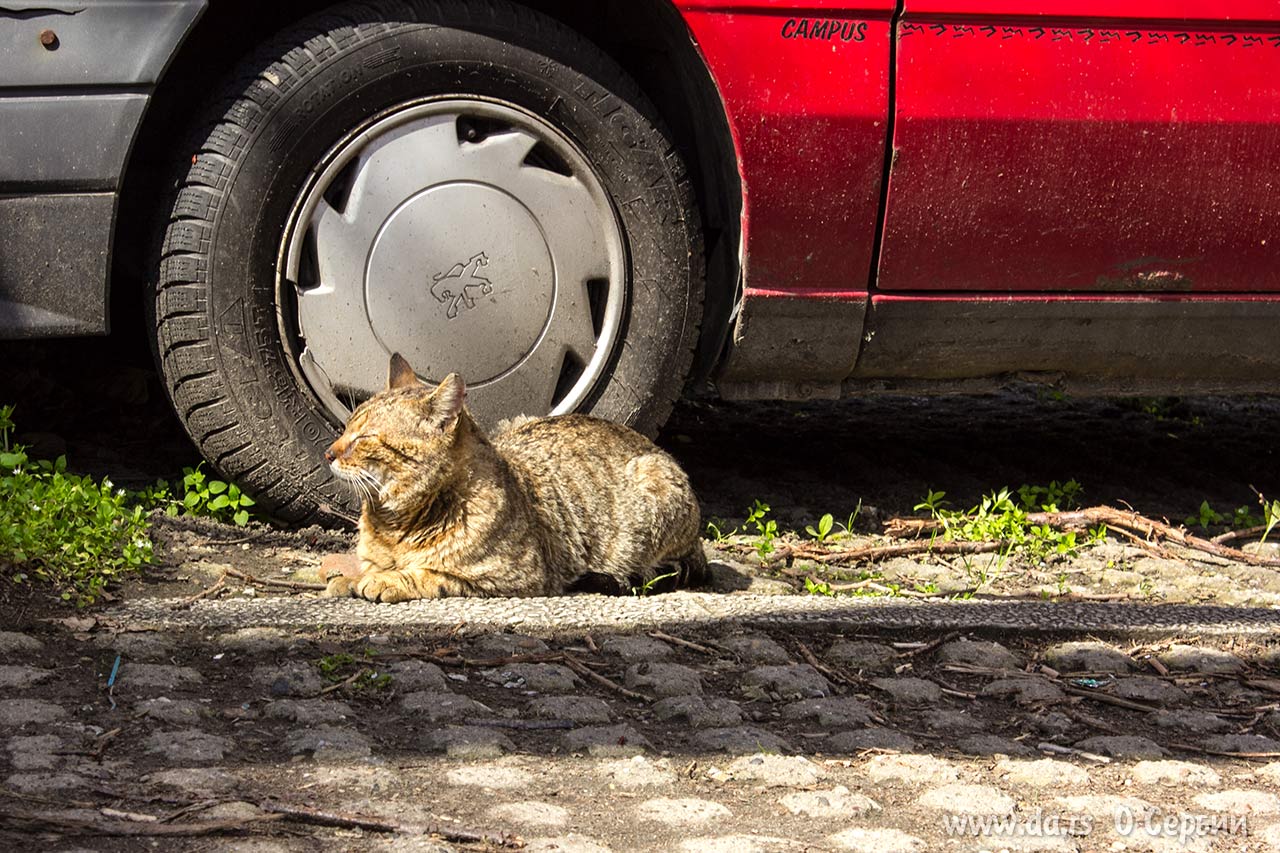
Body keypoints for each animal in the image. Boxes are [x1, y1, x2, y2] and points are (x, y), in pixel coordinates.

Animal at [320, 350, 711, 596]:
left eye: (365, 438)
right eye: (346, 427)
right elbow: (370, 567)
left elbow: (431, 575)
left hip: (656, 486)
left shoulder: (510, 575)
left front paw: (387, 580)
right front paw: (356, 577)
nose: (328, 453)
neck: (394, 524)